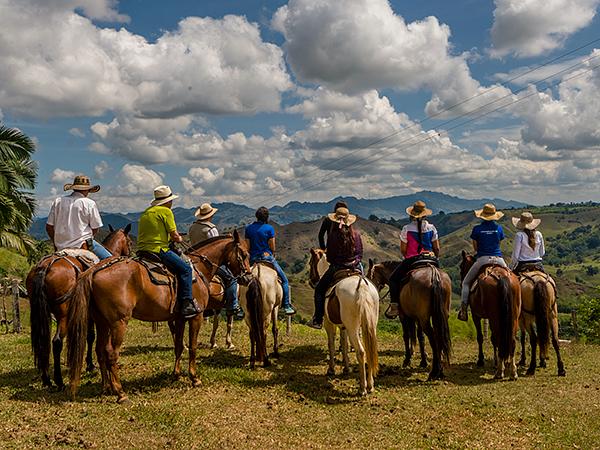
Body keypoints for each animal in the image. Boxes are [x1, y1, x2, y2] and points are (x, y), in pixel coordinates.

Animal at [26, 227, 132, 388]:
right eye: (130, 242)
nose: (130, 256)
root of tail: (44, 267)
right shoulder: (92, 315)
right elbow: (90, 336)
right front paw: (89, 365)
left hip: (39, 312)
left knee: (42, 341)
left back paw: (46, 379)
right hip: (63, 314)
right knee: (56, 341)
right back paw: (59, 380)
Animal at [67, 230, 251, 402]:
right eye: (244, 254)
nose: (248, 278)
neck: (198, 270)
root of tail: (95, 270)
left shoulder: (179, 318)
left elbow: (179, 346)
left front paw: (176, 374)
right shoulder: (196, 316)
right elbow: (192, 347)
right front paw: (194, 377)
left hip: (102, 322)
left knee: (100, 350)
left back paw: (107, 387)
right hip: (118, 322)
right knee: (111, 353)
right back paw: (120, 393)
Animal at [310, 250, 380, 398]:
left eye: (311, 262)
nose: (312, 280)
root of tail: (362, 287)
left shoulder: (329, 323)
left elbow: (331, 343)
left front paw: (331, 369)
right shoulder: (344, 326)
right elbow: (344, 344)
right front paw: (346, 368)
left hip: (353, 328)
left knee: (361, 351)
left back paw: (362, 388)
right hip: (370, 326)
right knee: (369, 350)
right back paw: (370, 385)